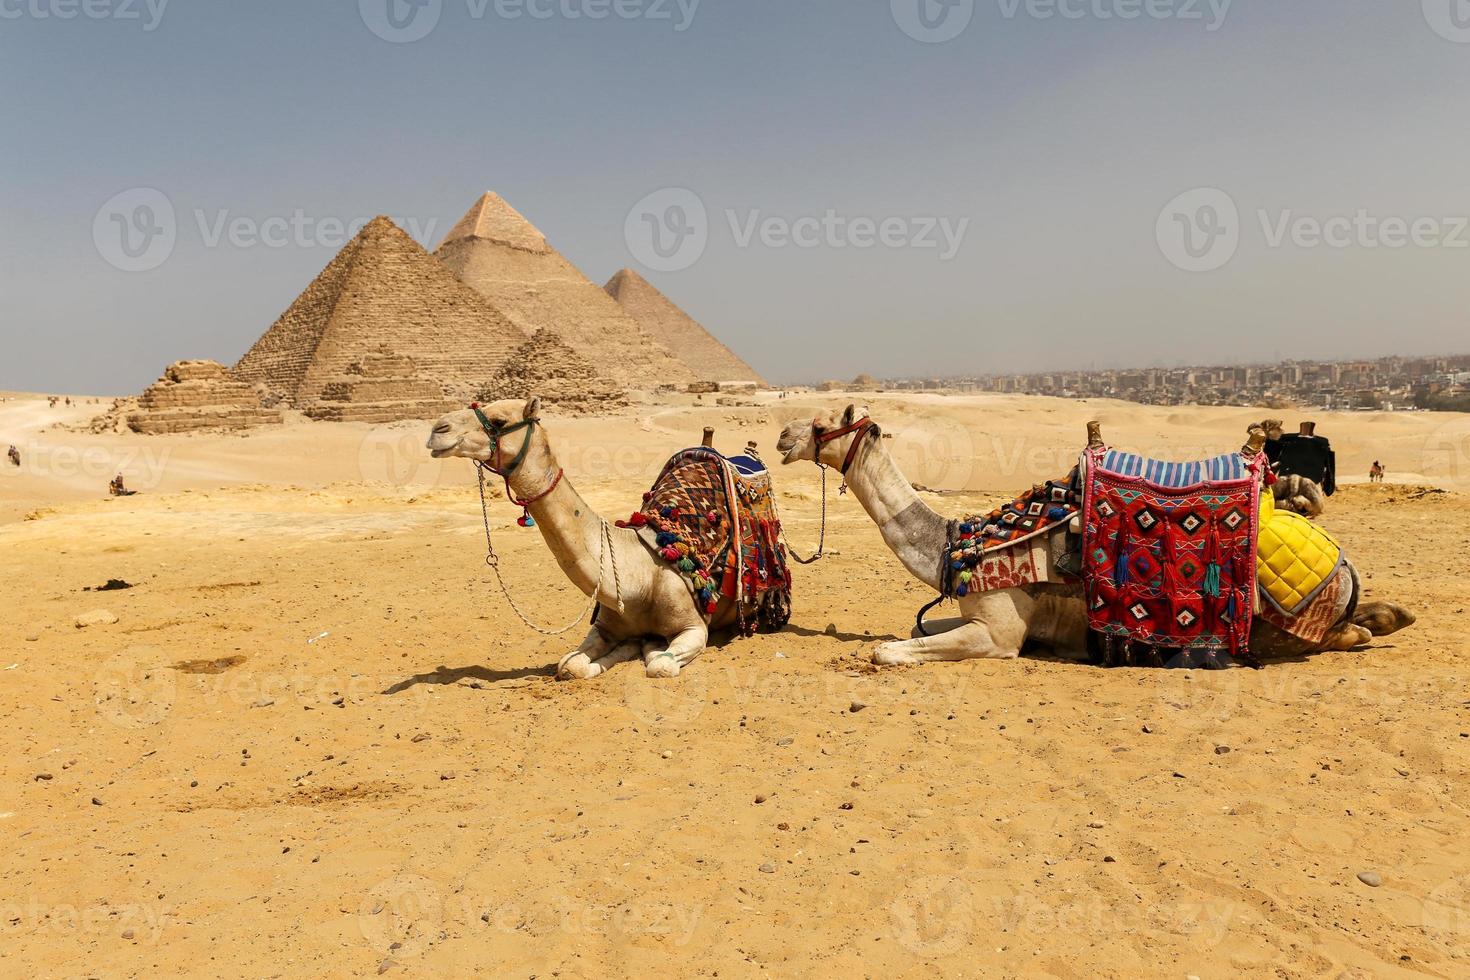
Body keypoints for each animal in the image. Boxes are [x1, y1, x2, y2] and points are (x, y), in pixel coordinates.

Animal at [429, 399, 735, 681]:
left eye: (499, 420)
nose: (438, 429)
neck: (641, 576)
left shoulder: (694, 627)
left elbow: (660, 665)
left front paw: (649, 647)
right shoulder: (605, 625)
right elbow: (570, 665)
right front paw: (631, 647)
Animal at [776, 405, 1417, 667]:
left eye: (821, 424)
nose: (781, 436)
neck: (960, 544)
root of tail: (1344, 568)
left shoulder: (1001, 631)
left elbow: (888, 648)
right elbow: (918, 627)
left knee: (1337, 635)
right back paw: (1391, 616)